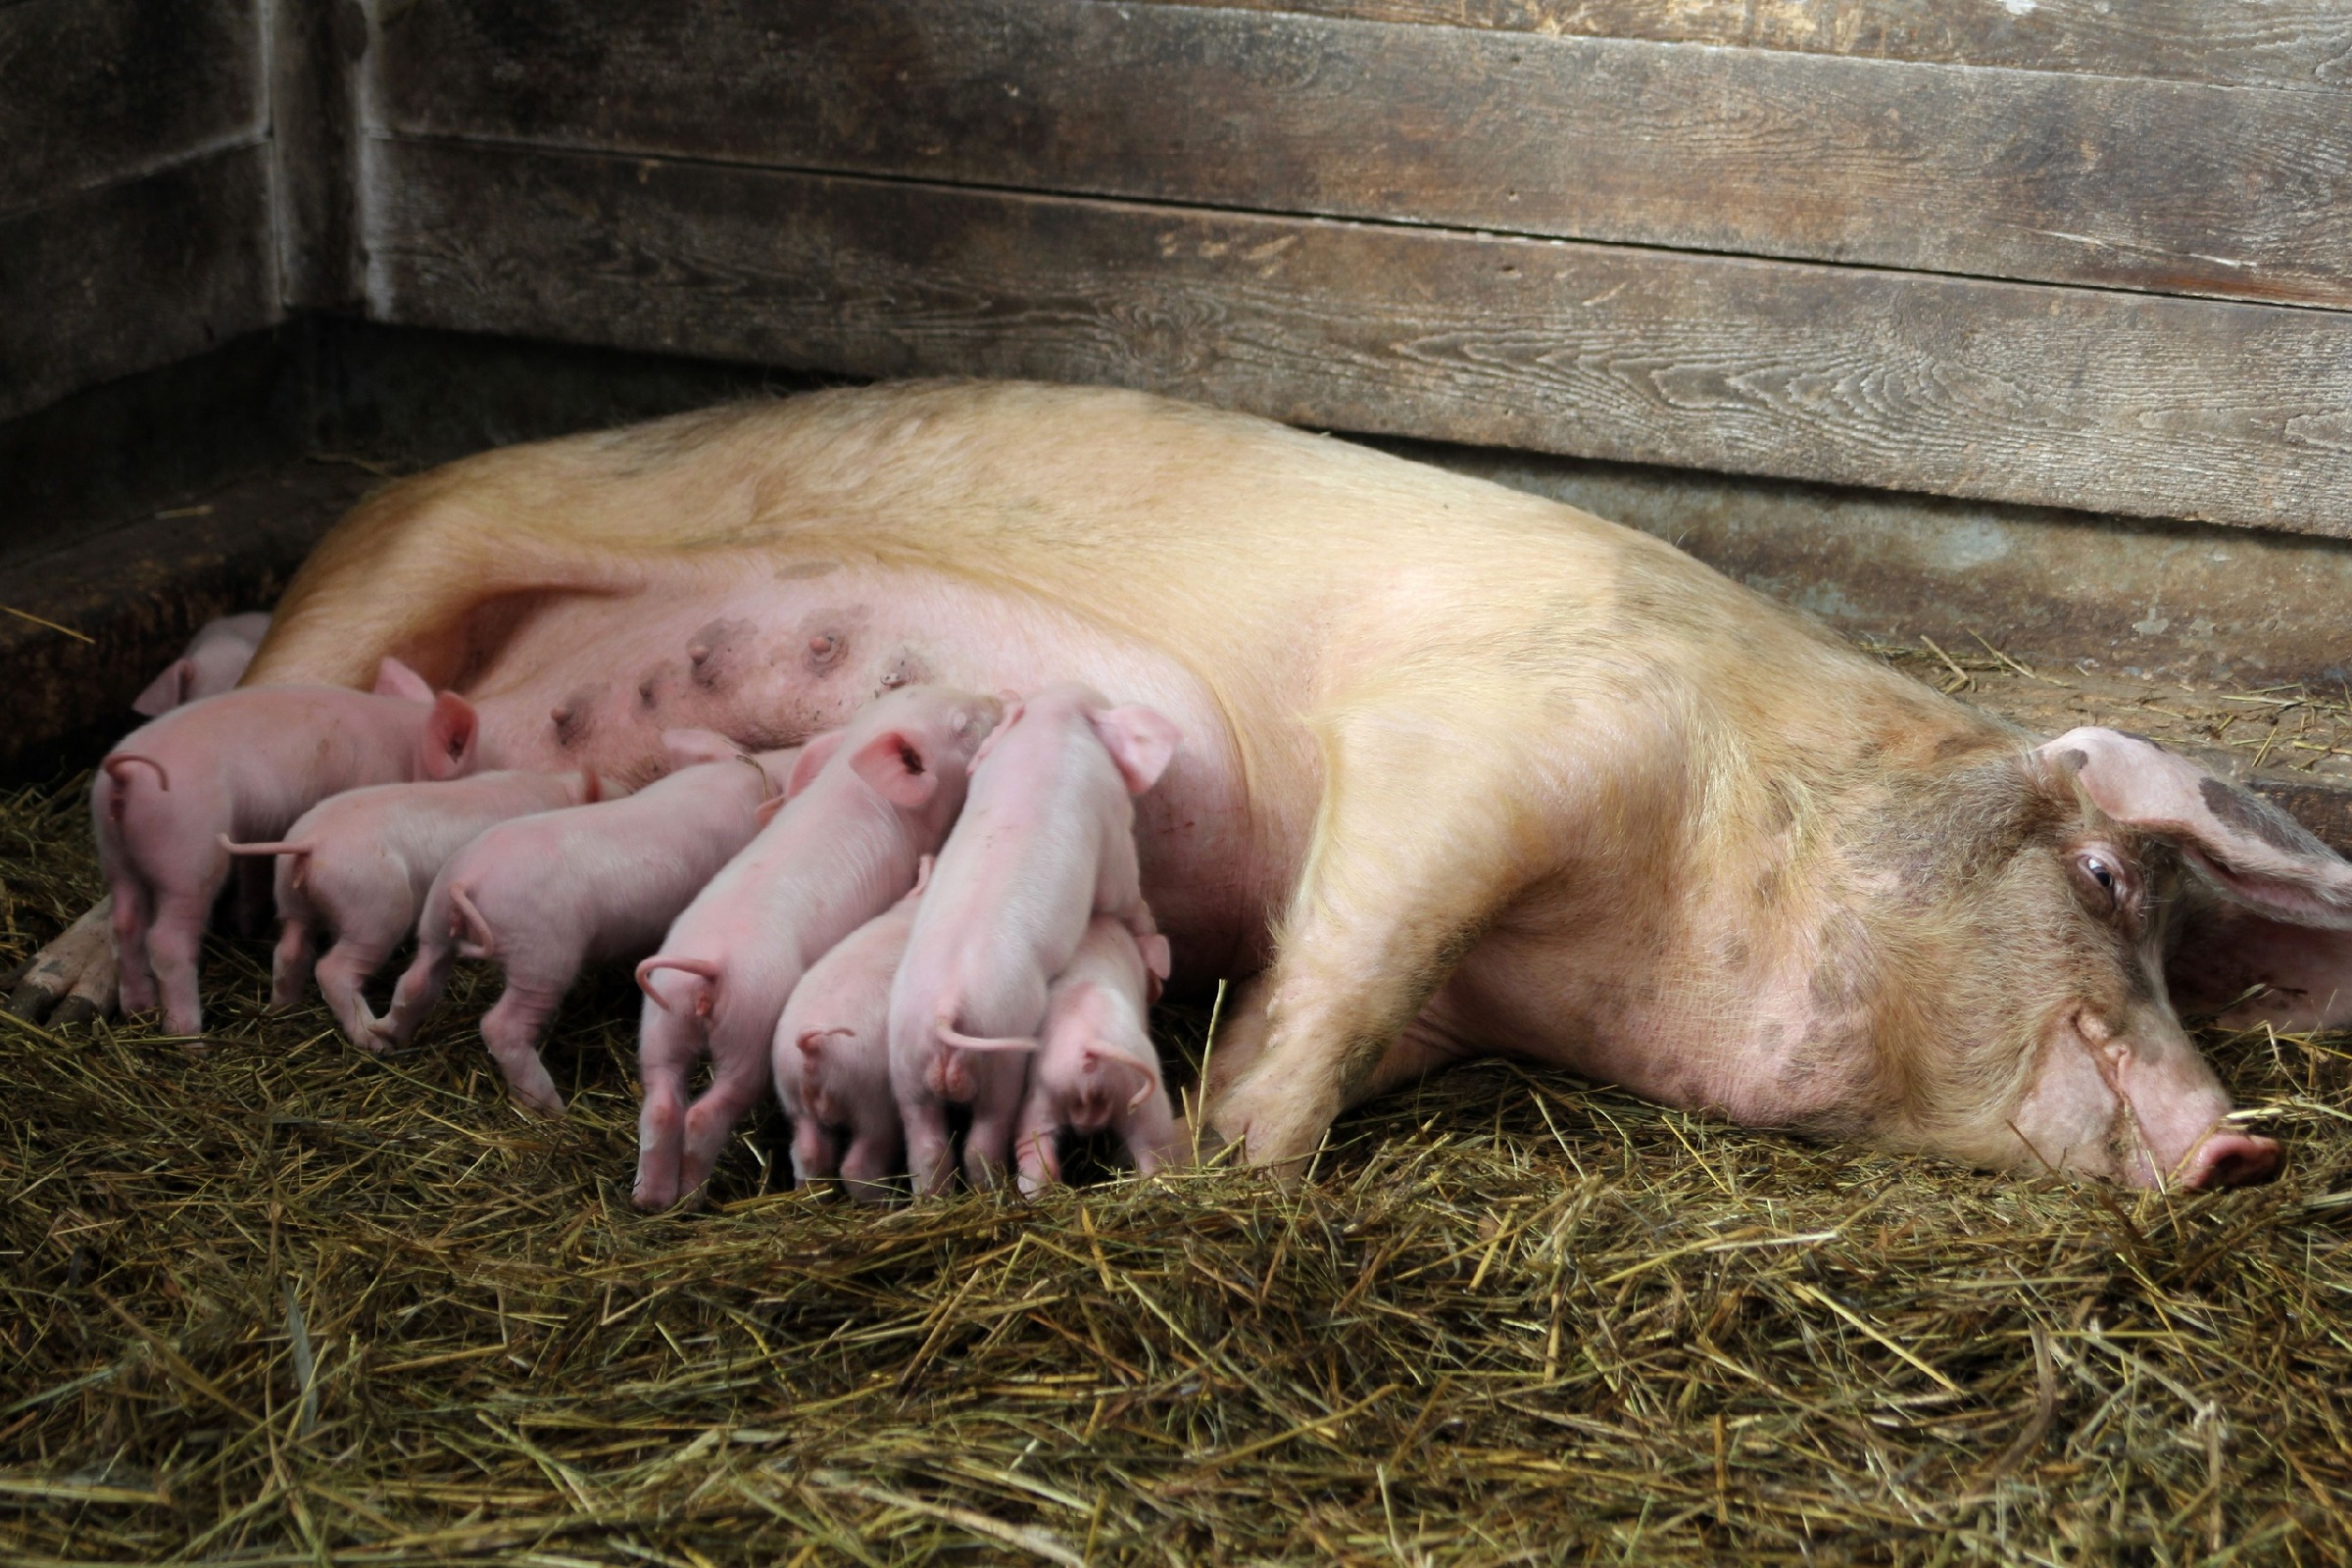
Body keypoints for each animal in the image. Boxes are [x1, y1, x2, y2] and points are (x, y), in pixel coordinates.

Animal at [36, 380, 2352, 1189]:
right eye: (2116, 886)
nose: (2240, 1148)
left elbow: (1358, 991)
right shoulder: (1490, 736)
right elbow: (1351, 940)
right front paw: (1227, 1157)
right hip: (411, 544)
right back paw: (73, 982)